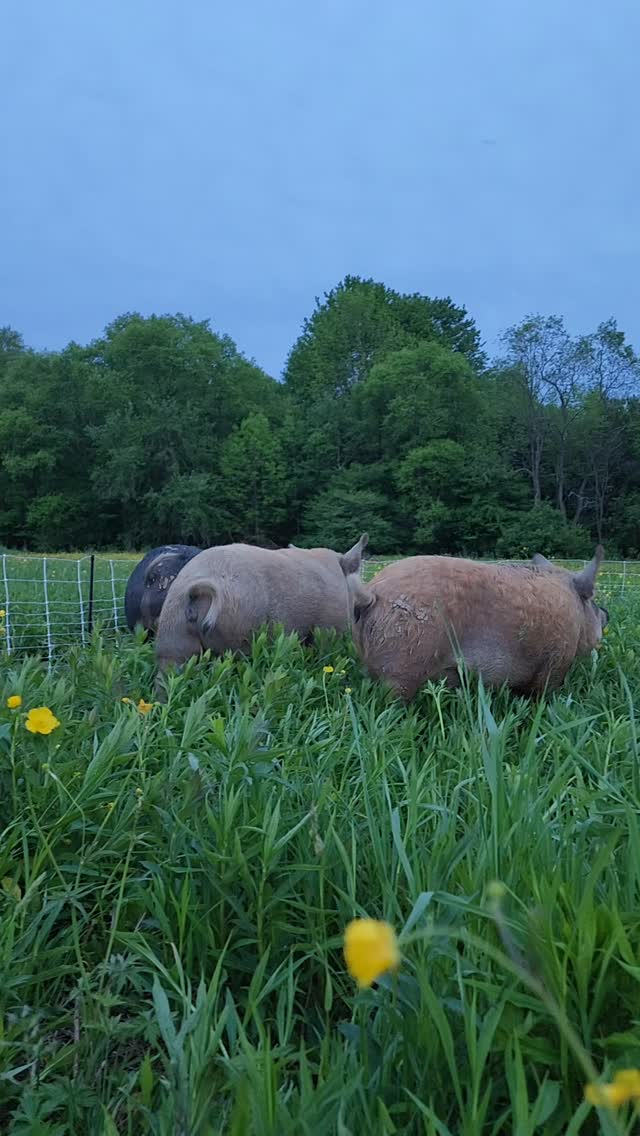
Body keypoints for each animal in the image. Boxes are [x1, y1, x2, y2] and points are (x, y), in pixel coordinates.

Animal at [342, 547, 608, 699]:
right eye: (592, 601)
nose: (606, 613)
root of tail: (370, 595)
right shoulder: (556, 662)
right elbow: (541, 695)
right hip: (405, 662)